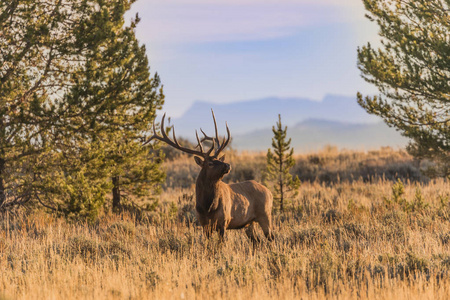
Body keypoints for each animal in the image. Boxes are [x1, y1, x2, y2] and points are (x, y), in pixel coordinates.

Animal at [146, 110, 276, 241]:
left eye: (219, 159)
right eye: (210, 163)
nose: (228, 165)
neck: (207, 207)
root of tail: (269, 192)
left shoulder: (223, 221)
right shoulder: (204, 224)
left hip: (265, 214)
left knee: (271, 237)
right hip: (250, 223)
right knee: (257, 241)